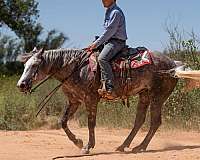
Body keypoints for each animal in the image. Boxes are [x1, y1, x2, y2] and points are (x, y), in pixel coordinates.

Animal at [16, 46, 197, 154]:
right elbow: (63, 121)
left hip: (157, 96)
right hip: (144, 95)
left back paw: (140, 147)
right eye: (25, 66)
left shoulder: (91, 99)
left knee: (155, 122)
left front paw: (87, 146)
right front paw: (78, 142)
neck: (75, 68)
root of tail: (174, 63)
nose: (21, 85)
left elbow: (90, 123)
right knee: (139, 121)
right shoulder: (74, 101)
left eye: (34, 66)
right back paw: (124, 146)